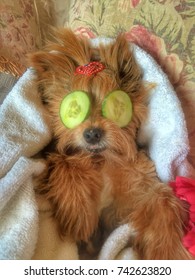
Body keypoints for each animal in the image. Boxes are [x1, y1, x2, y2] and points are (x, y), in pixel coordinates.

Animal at [0, 42, 194, 260]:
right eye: (74, 108)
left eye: (116, 106)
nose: (92, 134)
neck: (101, 159)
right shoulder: (55, 159)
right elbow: (65, 163)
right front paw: (78, 215)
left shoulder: (137, 191)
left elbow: (163, 200)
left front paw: (169, 250)